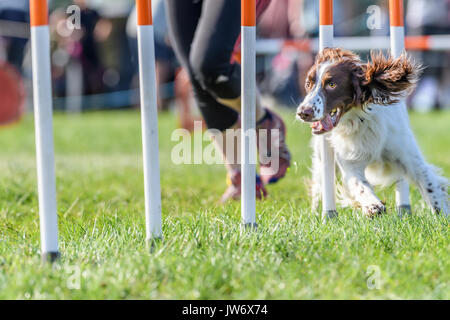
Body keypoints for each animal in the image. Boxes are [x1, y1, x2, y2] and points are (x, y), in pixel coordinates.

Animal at [298, 47, 448, 218]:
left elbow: (430, 184)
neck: (360, 121)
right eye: (308, 83)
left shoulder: (409, 157)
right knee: (319, 187)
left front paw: (443, 214)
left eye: (331, 84)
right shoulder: (350, 163)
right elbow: (359, 185)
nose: (303, 112)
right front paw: (373, 205)